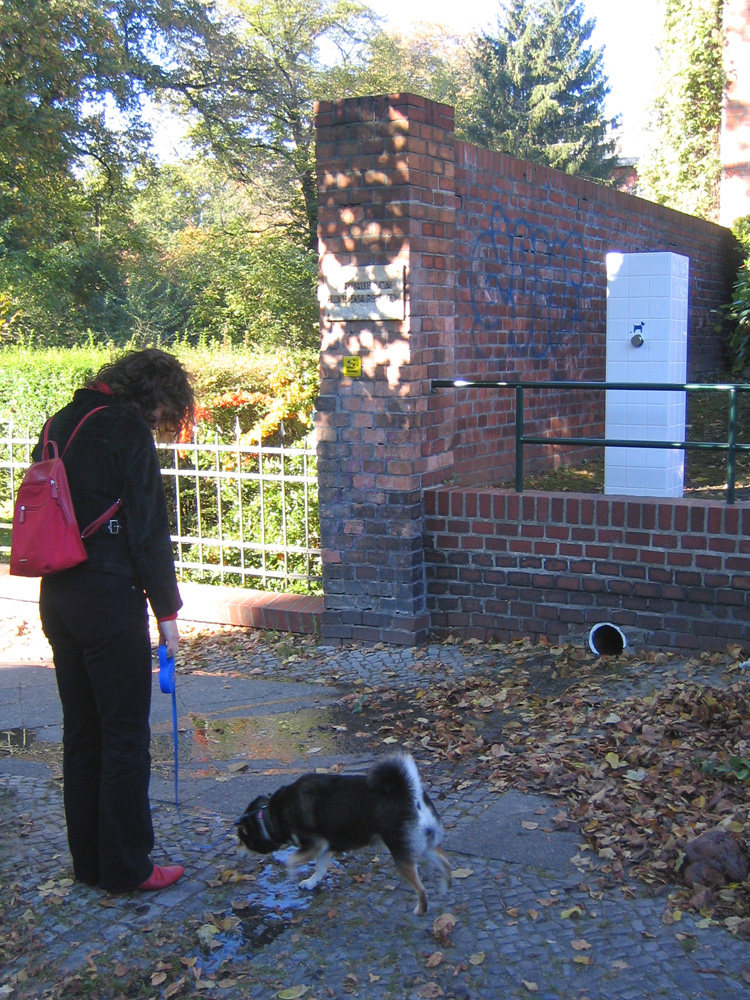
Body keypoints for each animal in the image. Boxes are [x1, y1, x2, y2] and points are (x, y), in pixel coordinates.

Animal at [235, 756, 450, 916]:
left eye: (241, 839)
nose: (237, 852)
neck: (270, 816)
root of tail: (410, 795)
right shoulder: (323, 848)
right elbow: (320, 869)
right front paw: (311, 882)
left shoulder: (314, 845)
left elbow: (291, 860)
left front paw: (293, 874)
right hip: (426, 846)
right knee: (445, 865)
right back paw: (445, 887)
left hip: (402, 854)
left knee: (421, 889)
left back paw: (421, 909)